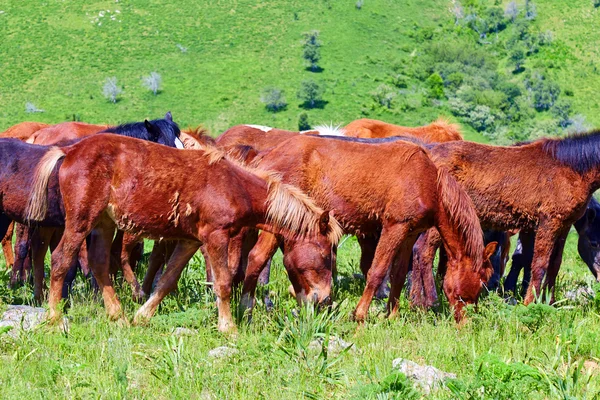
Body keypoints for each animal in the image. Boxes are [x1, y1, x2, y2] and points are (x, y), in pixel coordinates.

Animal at [24, 134, 342, 332]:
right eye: (325, 254)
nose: (325, 299)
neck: (232, 184)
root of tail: (69, 152)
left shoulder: (190, 241)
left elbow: (167, 280)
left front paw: (142, 316)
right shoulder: (216, 237)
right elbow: (223, 282)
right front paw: (229, 328)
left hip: (104, 223)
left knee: (101, 265)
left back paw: (119, 316)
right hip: (81, 221)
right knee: (61, 260)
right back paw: (56, 318)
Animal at [232, 134, 494, 322]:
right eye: (476, 284)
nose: (464, 322)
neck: (427, 180)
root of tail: (265, 153)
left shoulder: (409, 234)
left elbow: (399, 274)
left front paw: (392, 316)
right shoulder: (394, 227)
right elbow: (377, 271)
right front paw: (359, 315)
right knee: (257, 258)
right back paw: (247, 310)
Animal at [412, 130, 600, 304]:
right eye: (594, 243)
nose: (599, 277)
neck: (571, 168)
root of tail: (428, 153)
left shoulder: (563, 225)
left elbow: (554, 264)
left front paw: (550, 303)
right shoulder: (547, 223)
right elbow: (539, 264)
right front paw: (529, 303)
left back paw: (417, 302)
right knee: (424, 251)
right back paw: (431, 303)